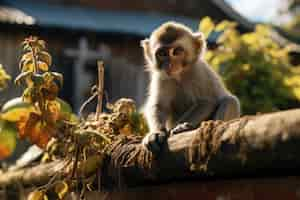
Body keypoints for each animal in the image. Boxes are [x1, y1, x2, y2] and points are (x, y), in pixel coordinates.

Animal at [141, 21, 241, 152]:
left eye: (177, 52)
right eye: (162, 54)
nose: (169, 65)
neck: (180, 75)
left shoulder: (198, 71)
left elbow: (206, 102)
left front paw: (182, 126)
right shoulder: (161, 78)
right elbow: (159, 106)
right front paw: (155, 133)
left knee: (230, 101)